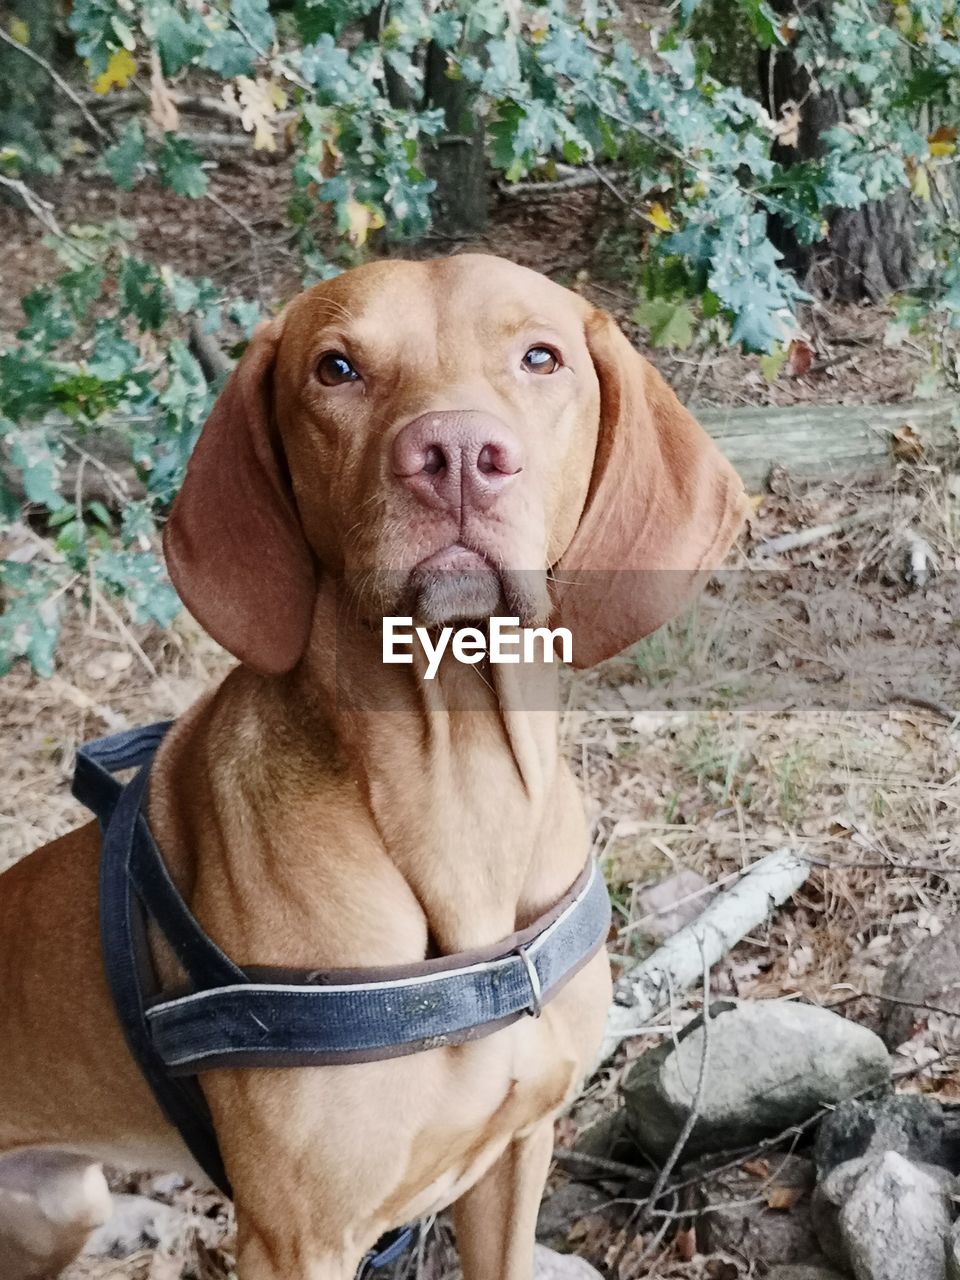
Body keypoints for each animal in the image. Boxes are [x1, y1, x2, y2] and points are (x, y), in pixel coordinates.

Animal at [0, 257, 747, 1280]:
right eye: (338, 368)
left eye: (540, 357)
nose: (457, 453)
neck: (460, 785)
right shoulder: (298, 1239)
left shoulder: (518, 1151)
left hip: (56, 1204)